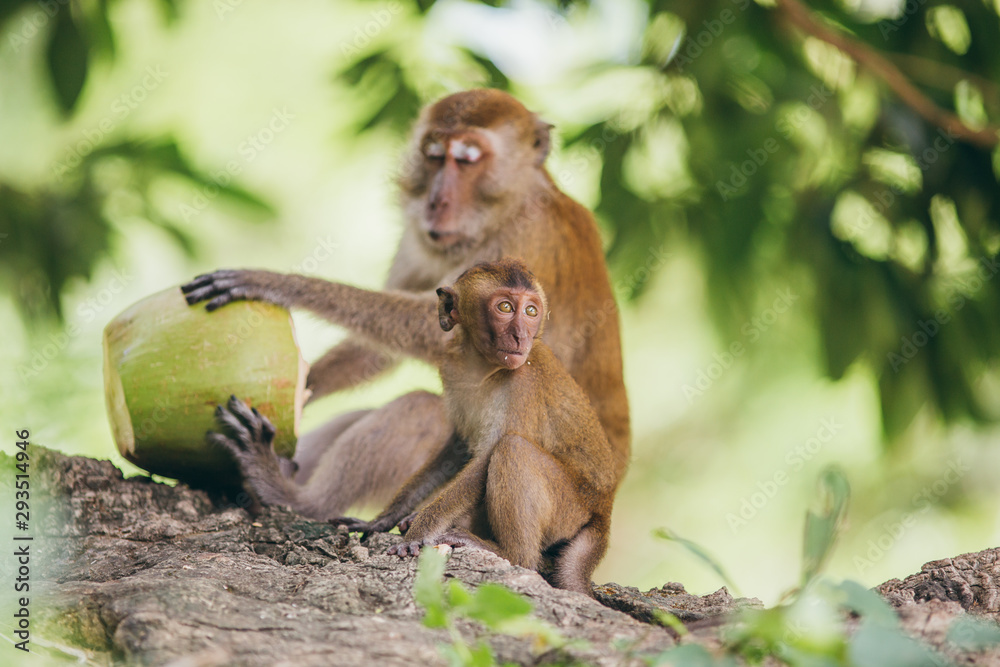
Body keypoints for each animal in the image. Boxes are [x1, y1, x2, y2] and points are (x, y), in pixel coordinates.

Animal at [183, 89, 630, 522]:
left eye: (467, 158)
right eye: (434, 154)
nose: (436, 201)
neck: (501, 214)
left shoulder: (530, 240)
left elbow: (443, 329)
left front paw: (280, 284)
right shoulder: (420, 242)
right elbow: (380, 350)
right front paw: (305, 390)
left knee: (423, 408)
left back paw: (295, 498)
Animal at [210, 259, 626, 595]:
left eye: (532, 311)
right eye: (506, 307)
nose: (521, 336)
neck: (482, 367)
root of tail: (604, 509)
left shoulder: (522, 384)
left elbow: (485, 460)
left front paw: (420, 532)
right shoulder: (451, 367)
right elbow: (458, 447)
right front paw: (387, 518)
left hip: (570, 508)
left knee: (513, 450)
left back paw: (508, 553)